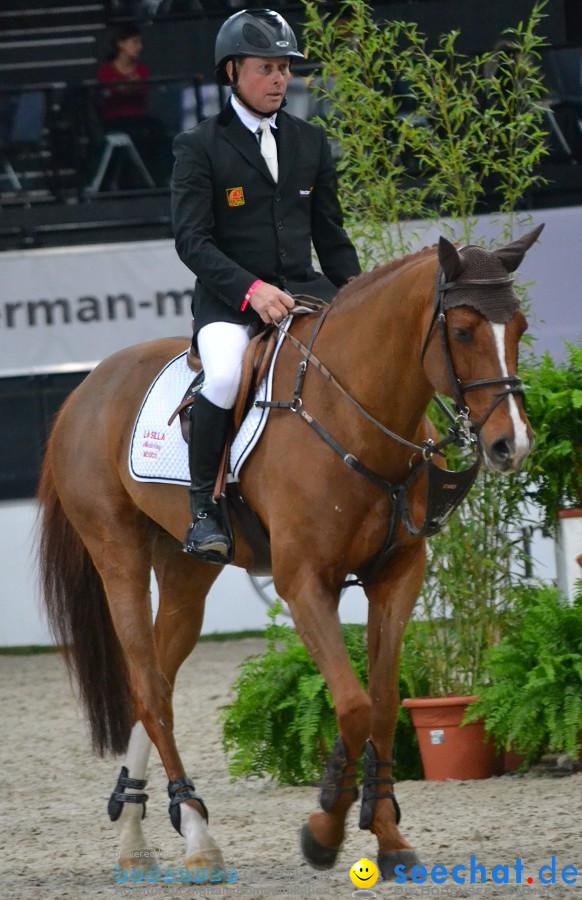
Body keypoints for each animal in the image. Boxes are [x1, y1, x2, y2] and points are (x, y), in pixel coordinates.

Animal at [38, 225, 544, 880]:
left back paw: (135, 833)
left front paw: (386, 833)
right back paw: (196, 832)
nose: (513, 445)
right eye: (461, 331)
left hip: (185, 570)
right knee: (147, 689)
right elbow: (352, 705)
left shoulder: (397, 575)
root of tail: (86, 386)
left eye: (520, 327)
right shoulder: (303, 584)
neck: (356, 418)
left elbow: (385, 703)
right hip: (117, 553)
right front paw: (325, 827)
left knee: (161, 687)